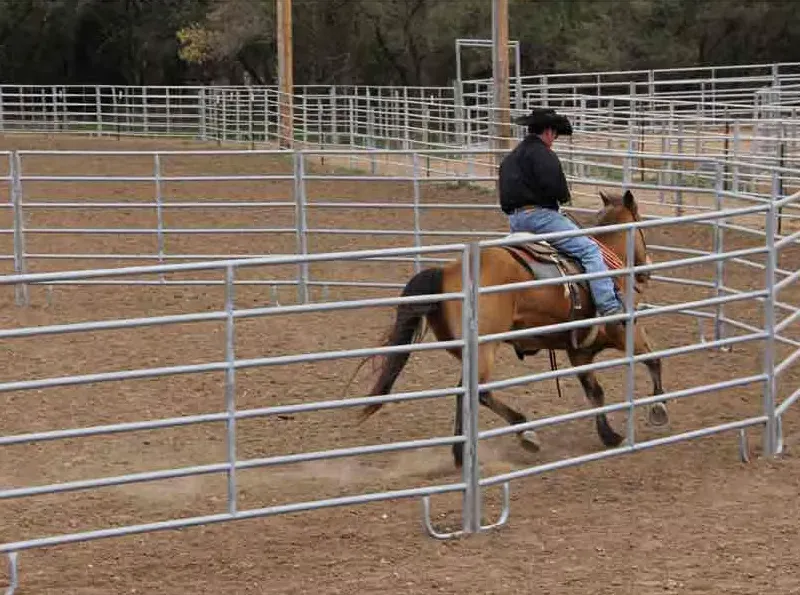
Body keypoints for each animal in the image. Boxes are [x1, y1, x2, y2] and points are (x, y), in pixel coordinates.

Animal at [354, 189, 666, 468]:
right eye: (641, 228)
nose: (648, 268)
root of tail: (447, 272)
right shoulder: (626, 331)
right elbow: (653, 359)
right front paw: (659, 408)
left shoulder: (579, 352)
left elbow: (595, 392)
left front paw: (609, 435)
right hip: (485, 347)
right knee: (478, 392)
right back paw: (524, 431)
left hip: (468, 350)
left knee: (463, 392)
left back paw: (460, 454)